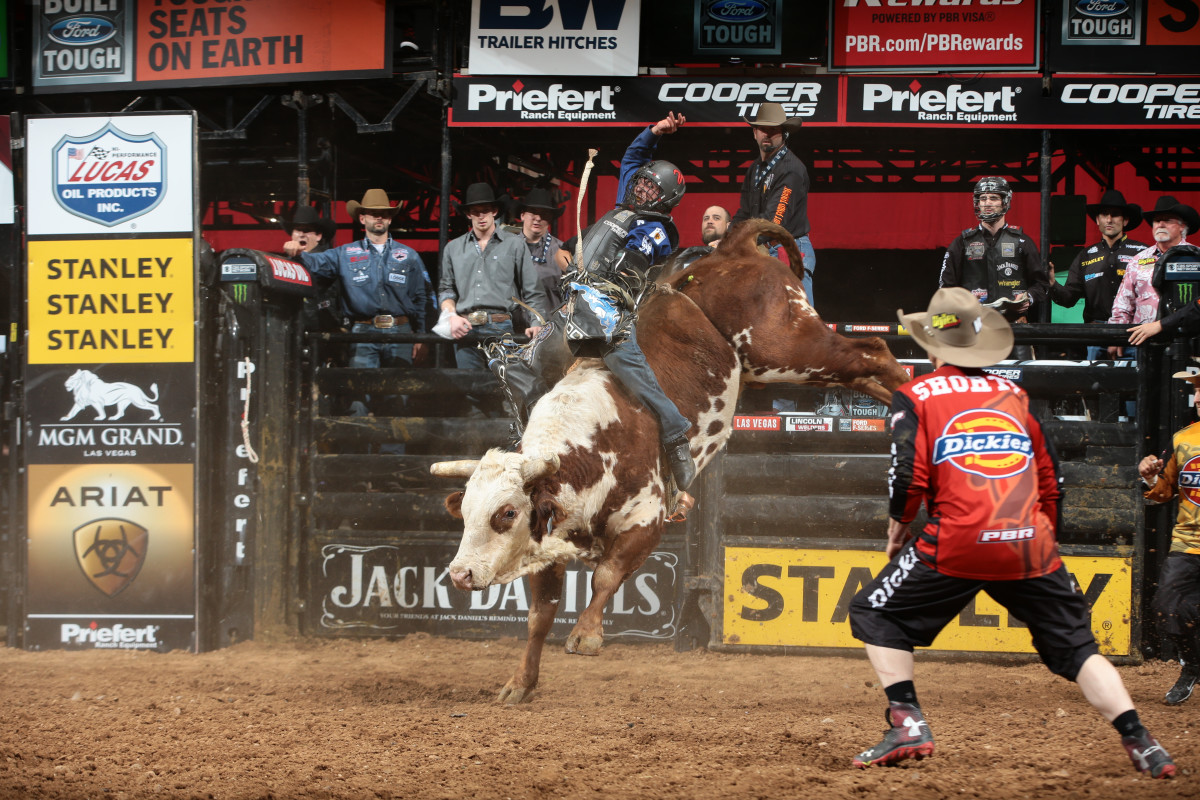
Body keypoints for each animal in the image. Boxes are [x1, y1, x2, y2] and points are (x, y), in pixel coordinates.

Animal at [427, 219, 902, 700]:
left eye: (507, 512)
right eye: (465, 512)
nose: (460, 575)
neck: (588, 450)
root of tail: (732, 251)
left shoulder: (647, 518)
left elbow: (607, 575)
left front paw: (587, 634)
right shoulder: (547, 540)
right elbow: (540, 616)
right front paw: (520, 683)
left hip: (786, 348)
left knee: (873, 351)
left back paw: (912, 392)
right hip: (785, 362)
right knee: (862, 369)